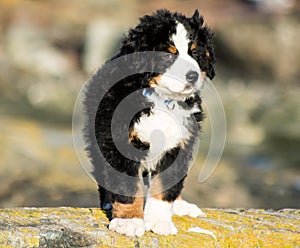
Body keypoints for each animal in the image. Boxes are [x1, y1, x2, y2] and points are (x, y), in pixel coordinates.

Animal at [84, 8, 216, 235]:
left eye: (196, 53)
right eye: (168, 55)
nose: (192, 76)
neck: (162, 100)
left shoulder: (178, 145)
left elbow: (164, 186)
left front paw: (160, 222)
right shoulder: (119, 142)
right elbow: (128, 185)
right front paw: (129, 221)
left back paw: (181, 205)